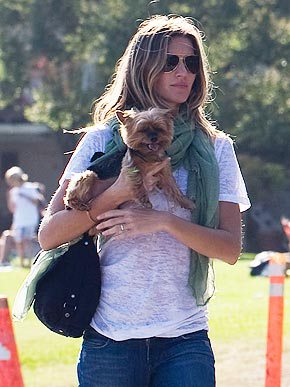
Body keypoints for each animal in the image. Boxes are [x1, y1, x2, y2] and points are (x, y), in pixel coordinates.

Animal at [64, 108, 194, 212]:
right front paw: (144, 201)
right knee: (69, 197)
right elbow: (138, 183)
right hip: (89, 175)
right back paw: (78, 204)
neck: (148, 155)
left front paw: (186, 202)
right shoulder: (131, 168)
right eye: (142, 129)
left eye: (159, 128)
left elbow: (174, 188)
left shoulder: (164, 171)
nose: (153, 138)